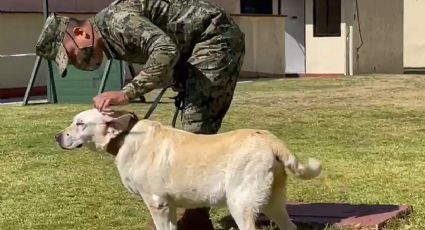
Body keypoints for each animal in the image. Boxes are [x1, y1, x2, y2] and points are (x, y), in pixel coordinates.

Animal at [56, 109, 322, 230]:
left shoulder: (158, 204)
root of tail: (270, 140)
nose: (57, 136)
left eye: (80, 123)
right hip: (273, 202)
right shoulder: (170, 205)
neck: (125, 138)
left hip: (241, 204)